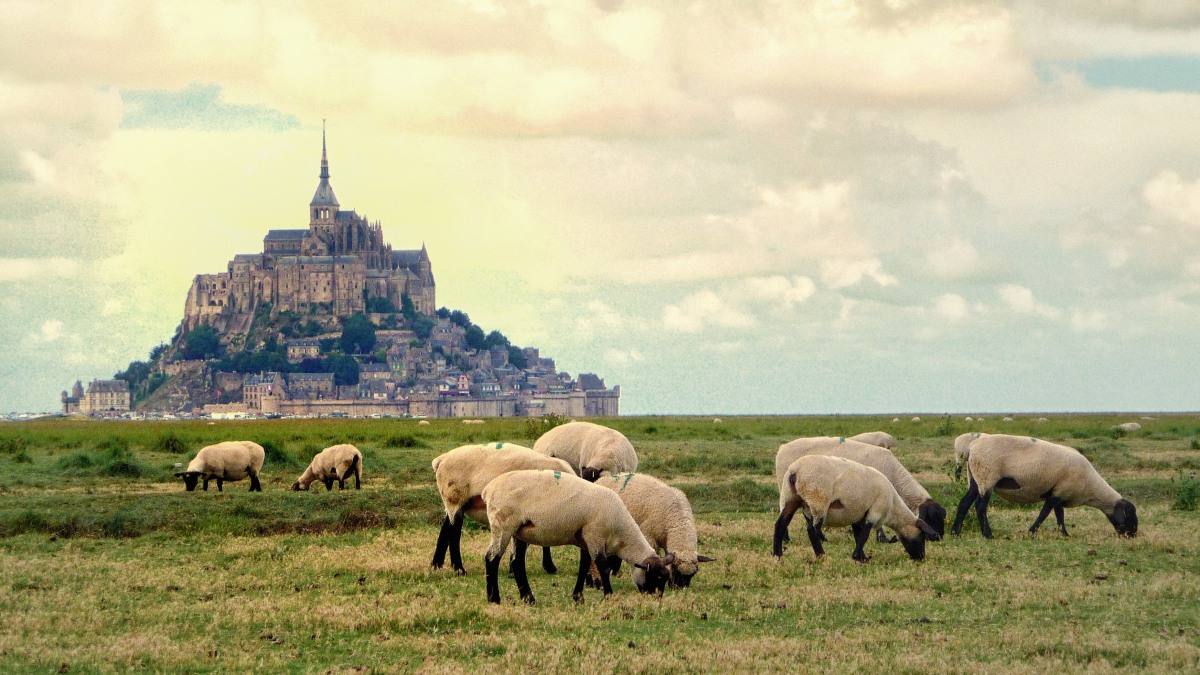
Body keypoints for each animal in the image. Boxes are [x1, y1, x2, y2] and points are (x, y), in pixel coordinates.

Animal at [430, 442, 573, 575]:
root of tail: (441, 459)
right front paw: (548, 566)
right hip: (455, 497)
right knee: (454, 532)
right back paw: (459, 569)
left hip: (455, 502)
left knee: (446, 528)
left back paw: (437, 564)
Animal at [481, 469, 674, 604]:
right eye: (655, 577)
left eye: (665, 579)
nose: (657, 600)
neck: (621, 534)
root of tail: (488, 489)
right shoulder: (595, 535)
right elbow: (603, 567)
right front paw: (608, 596)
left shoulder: (585, 540)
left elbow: (584, 566)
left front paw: (578, 598)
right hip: (502, 524)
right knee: (492, 558)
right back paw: (494, 599)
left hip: (519, 532)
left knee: (517, 562)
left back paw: (529, 599)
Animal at [774, 455, 939, 562]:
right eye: (922, 537)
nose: (921, 557)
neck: (893, 507)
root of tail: (795, 470)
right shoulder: (875, 511)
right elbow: (864, 535)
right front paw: (859, 558)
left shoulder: (857, 515)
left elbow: (858, 535)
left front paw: (862, 556)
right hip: (818, 500)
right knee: (812, 529)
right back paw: (821, 555)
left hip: (790, 497)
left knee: (780, 524)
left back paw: (777, 555)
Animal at [775, 437, 946, 541]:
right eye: (931, 518)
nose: (938, 537)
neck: (894, 475)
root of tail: (783, 447)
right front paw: (882, 538)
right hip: (787, 489)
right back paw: (787, 539)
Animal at [951, 434, 1138, 539]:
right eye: (1129, 515)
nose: (1133, 535)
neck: (1091, 488)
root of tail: (971, 448)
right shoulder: (1057, 493)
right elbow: (1045, 513)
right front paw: (1031, 532)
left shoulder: (1059, 491)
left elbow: (1059, 515)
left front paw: (1065, 534)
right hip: (987, 476)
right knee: (980, 506)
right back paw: (988, 535)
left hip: (975, 478)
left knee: (964, 503)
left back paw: (955, 532)